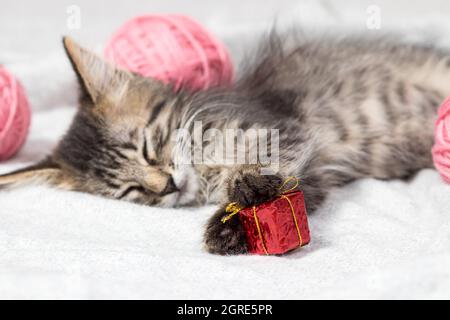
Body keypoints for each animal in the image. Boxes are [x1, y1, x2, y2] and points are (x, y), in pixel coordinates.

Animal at [0, 31, 446, 254]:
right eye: (131, 191)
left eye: (149, 146)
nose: (167, 186)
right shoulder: (314, 172)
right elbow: (296, 191)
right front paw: (233, 229)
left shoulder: (280, 127)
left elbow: (261, 160)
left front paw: (243, 189)